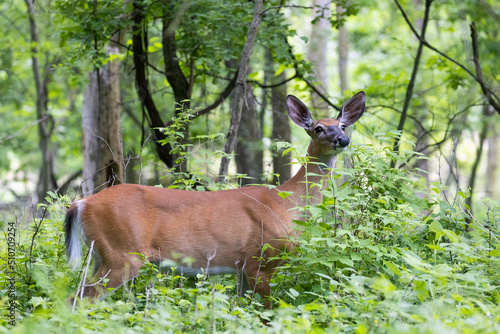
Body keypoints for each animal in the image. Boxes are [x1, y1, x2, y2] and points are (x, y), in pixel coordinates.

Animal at [64, 90, 366, 306]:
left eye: (342, 125)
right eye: (318, 128)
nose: (342, 140)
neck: (286, 204)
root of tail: (81, 203)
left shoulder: (243, 266)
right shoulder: (261, 258)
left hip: (102, 254)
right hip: (124, 253)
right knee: (77, 300)